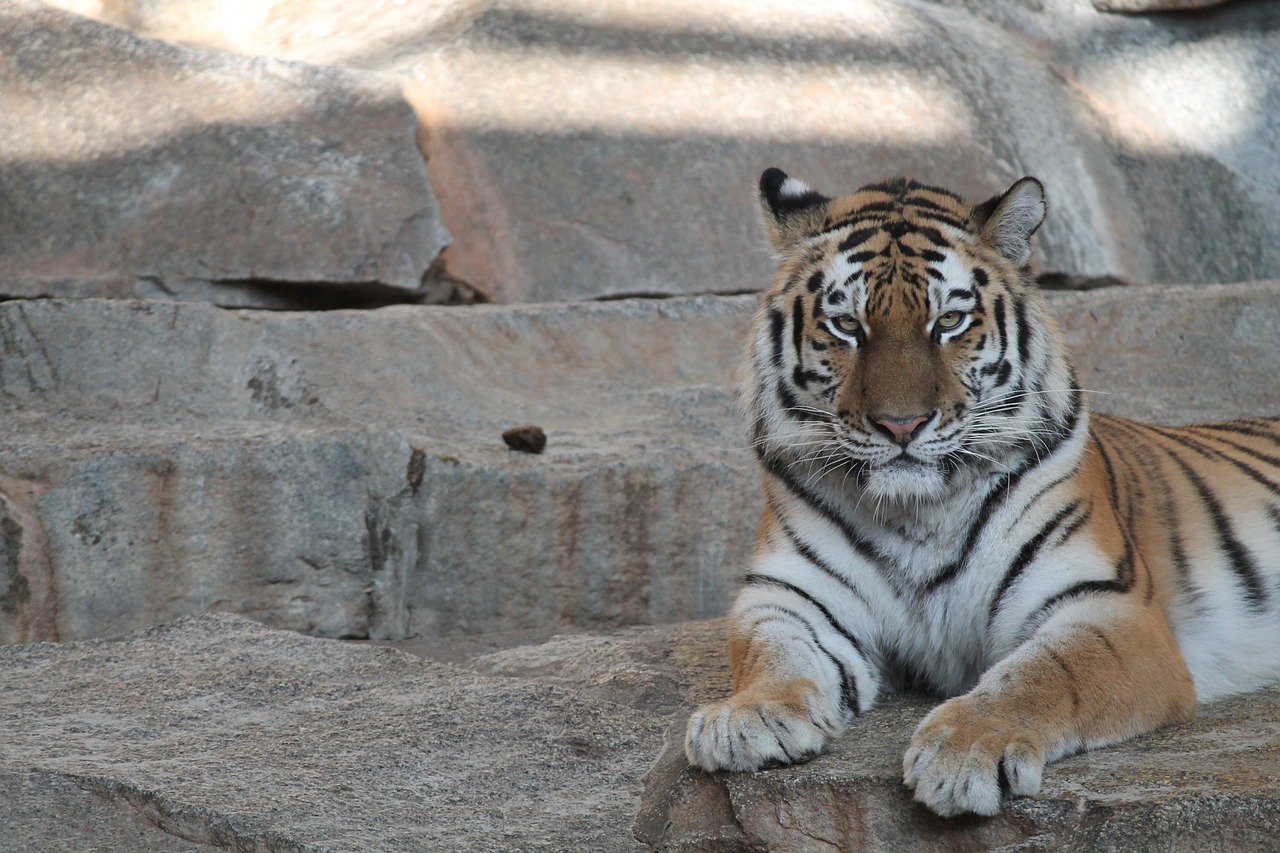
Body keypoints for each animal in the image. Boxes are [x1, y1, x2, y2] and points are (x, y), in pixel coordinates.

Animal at [686, 166, 1280, 809]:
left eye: (949, 322)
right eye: (847, 325)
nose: (901, 424)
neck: (917, 511)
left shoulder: (1107, 607)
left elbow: (1039, 675)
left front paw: (966, 748)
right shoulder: (790, 594)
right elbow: (771, 650)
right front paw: (747, 716)